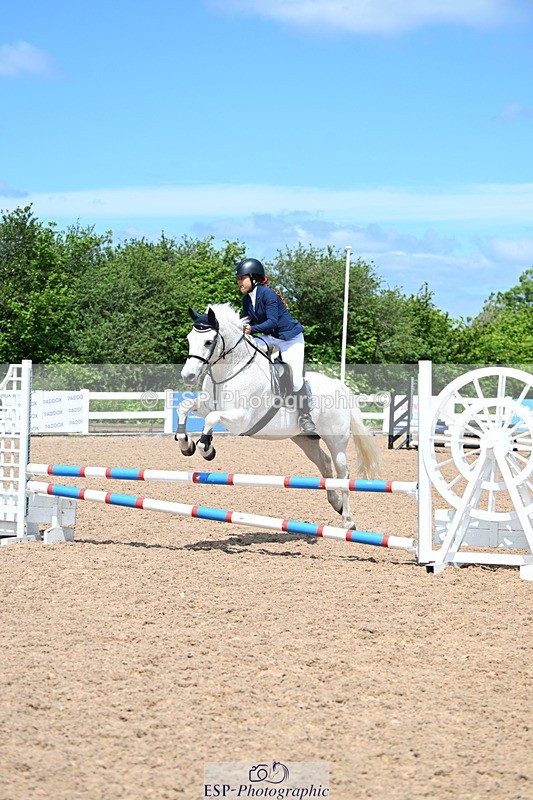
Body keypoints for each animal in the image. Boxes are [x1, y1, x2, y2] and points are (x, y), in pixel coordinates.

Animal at [175, 303, 380, 528]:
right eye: (189, 339)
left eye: (208, 341)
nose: (188, 376)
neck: (231, 370)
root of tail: (339, 385)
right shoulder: (206, 406)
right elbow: (185, 407)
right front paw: (186, 444)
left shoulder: (241, 420)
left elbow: (212, 419)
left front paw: (206, 448)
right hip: (304, 439)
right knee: (325, 464)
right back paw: (337, 505)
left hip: (336, 439)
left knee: (343, 474)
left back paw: (348, 521)